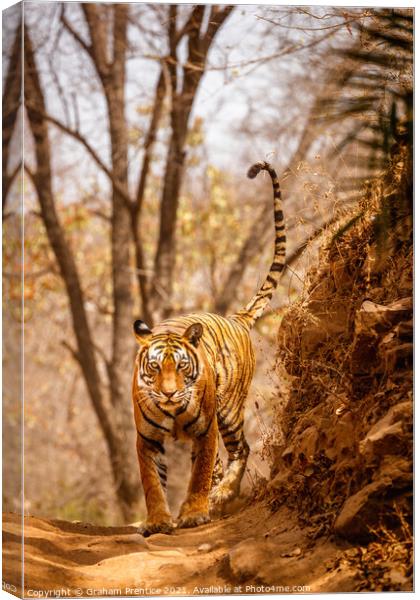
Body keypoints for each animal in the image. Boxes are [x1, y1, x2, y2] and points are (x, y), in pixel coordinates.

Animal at [133, 162, 288, 536]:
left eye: (181, 367)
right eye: (155, 368)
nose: (170, 394)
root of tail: (235, 318)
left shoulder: (206, 432)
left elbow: (199, 474)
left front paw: (194, 513)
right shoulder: (147, 440)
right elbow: (152, 483)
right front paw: (158, 521)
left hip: (228, 411)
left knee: (241, 449)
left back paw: (222, 494)